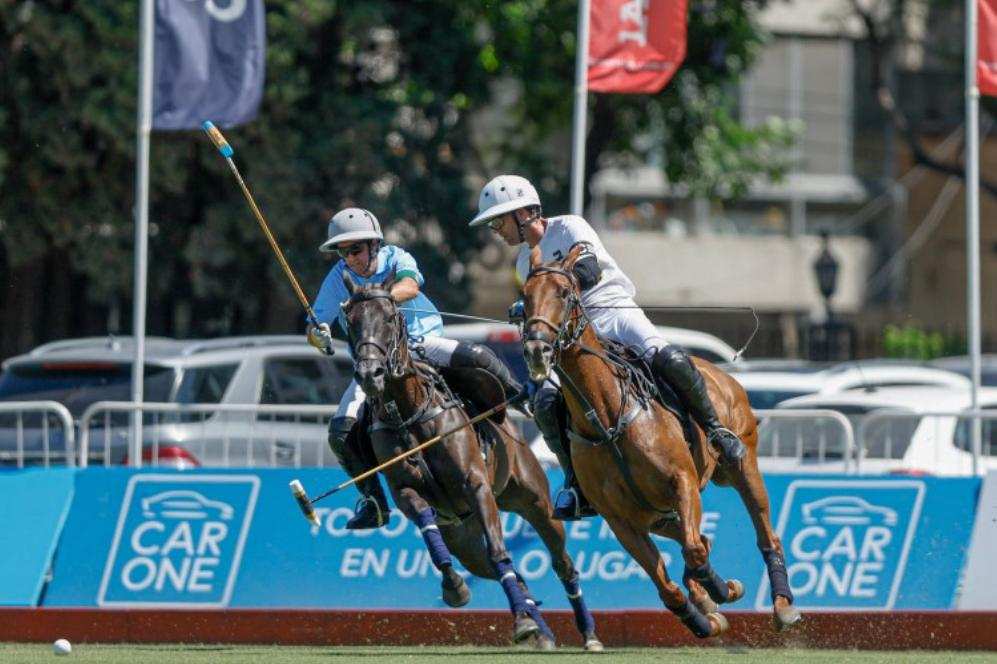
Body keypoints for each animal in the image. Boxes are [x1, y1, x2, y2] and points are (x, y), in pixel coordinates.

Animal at [342, 274, 604, 648]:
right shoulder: (406, 492)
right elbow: (428, 526)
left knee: (561, 563)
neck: (410, 412)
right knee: (508, 572)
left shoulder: (476, 485)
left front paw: (521, 621)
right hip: (462, 536)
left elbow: (499, 552)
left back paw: (587, 633)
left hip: (535, 501)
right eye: (350, 321)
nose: (370, 374)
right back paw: (538, 629)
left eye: (390, 317)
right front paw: (455, 588)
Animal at [520, 244, 800, 632]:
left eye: (564, 292)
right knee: (700, 539)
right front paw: (705, 619)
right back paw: (706, 601)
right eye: (524, 297)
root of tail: (722, 374)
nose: (536, 350)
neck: (608, 418)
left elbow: (694, 551)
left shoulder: (681, 482)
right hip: (656, 514)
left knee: (764, 533)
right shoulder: (620, 520)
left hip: (742, 466)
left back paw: (782, 605)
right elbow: (668, 587)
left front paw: (721, 589)